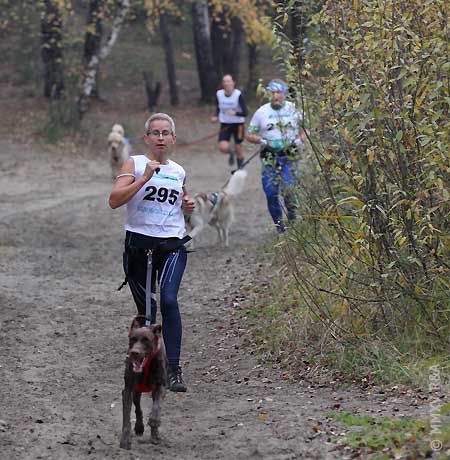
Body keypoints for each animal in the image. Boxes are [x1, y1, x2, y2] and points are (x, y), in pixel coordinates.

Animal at [119, 316, 167, 450]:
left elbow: (157, 405)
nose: (134, 352)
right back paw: (139, 427)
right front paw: (125, 439)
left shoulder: (161, 385)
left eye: (146, 340)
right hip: (137, 391)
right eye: (132, 339)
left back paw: (155, 435)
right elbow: (126, 416)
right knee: (138, 408)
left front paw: (154, 421)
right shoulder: (128, 389)